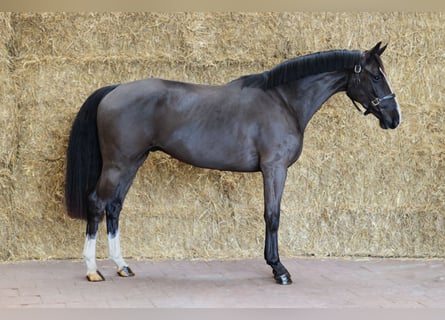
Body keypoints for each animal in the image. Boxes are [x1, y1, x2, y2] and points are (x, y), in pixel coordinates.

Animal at [65, 42, 398, 282]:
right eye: (376, 75)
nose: (395, 118)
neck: (283, 101)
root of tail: (115, 89)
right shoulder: (274, 169)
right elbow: (272, 216)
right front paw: (279, 269)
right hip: (117, 164)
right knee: (97, 203)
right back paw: (93, 271)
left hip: (132, 162)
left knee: (114, 207)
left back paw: (122, 266)